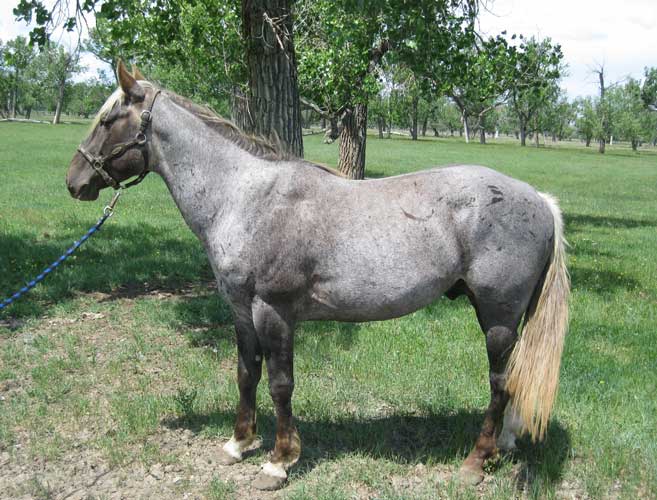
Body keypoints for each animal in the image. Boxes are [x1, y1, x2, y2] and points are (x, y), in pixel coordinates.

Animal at [68, 61, 568, 488]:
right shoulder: (240, 311)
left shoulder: (273, 313)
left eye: (108, 119)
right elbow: (246, 374)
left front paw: (279, 461)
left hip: (497, 318)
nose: (75, 181)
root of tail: (541, 200)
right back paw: (504, 444)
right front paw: (238, 444)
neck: (246, 198)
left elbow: (280, 384)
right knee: (513, 380)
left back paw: (476, 460)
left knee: (499, 383)